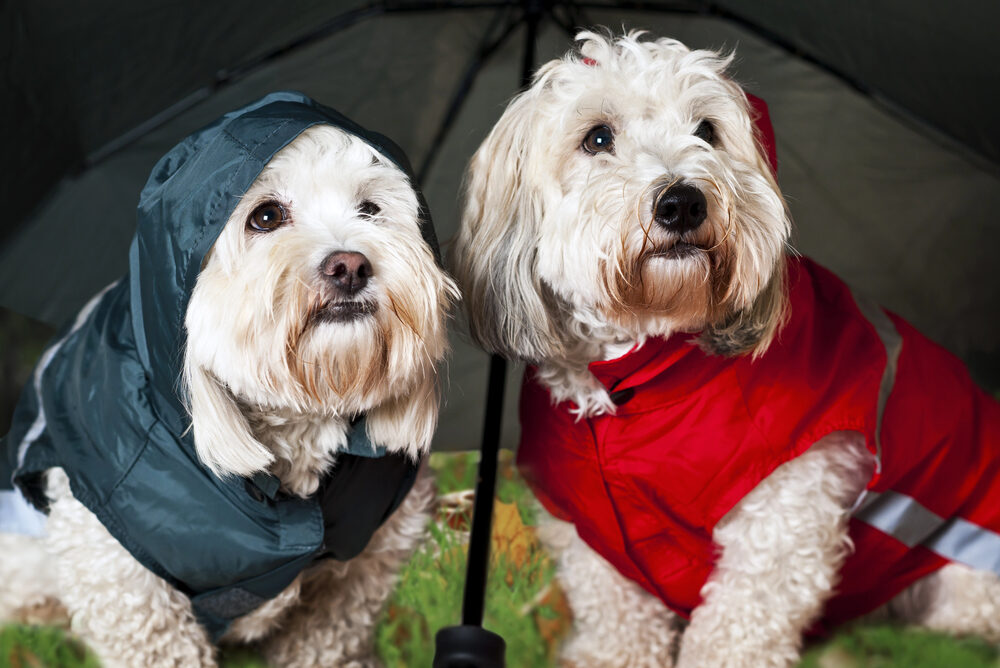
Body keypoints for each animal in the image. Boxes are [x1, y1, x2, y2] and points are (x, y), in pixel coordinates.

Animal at [0, 94, 458, 668]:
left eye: (371, 210)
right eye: (265, 216)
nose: (350, 265)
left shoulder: (371, 555)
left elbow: (328, 636)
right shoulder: (117, 571)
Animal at [452, 30, 1000, 668]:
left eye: (707, 130)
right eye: (597, 138)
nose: (683, 202)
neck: (637, 380)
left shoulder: (786, 512)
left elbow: (738, 624)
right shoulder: (591, 532)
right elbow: (616, 617)